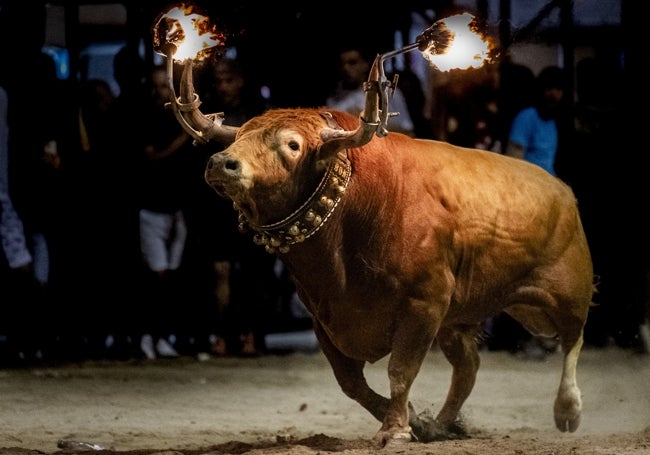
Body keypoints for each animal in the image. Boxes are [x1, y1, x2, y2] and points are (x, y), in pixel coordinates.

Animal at [171, 56, 592, 446]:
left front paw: (397, 429)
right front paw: (414, 421)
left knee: (573, 340)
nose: (221, 163)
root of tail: (564, 192)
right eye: (238, 136)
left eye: (292, 145)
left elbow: (400, 371)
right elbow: (351, 383)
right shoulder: (324, 318)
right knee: (468, 367)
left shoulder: (424, 305)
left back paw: (568, 409)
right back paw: (441, 424)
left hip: (568, 293)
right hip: (458, 319)